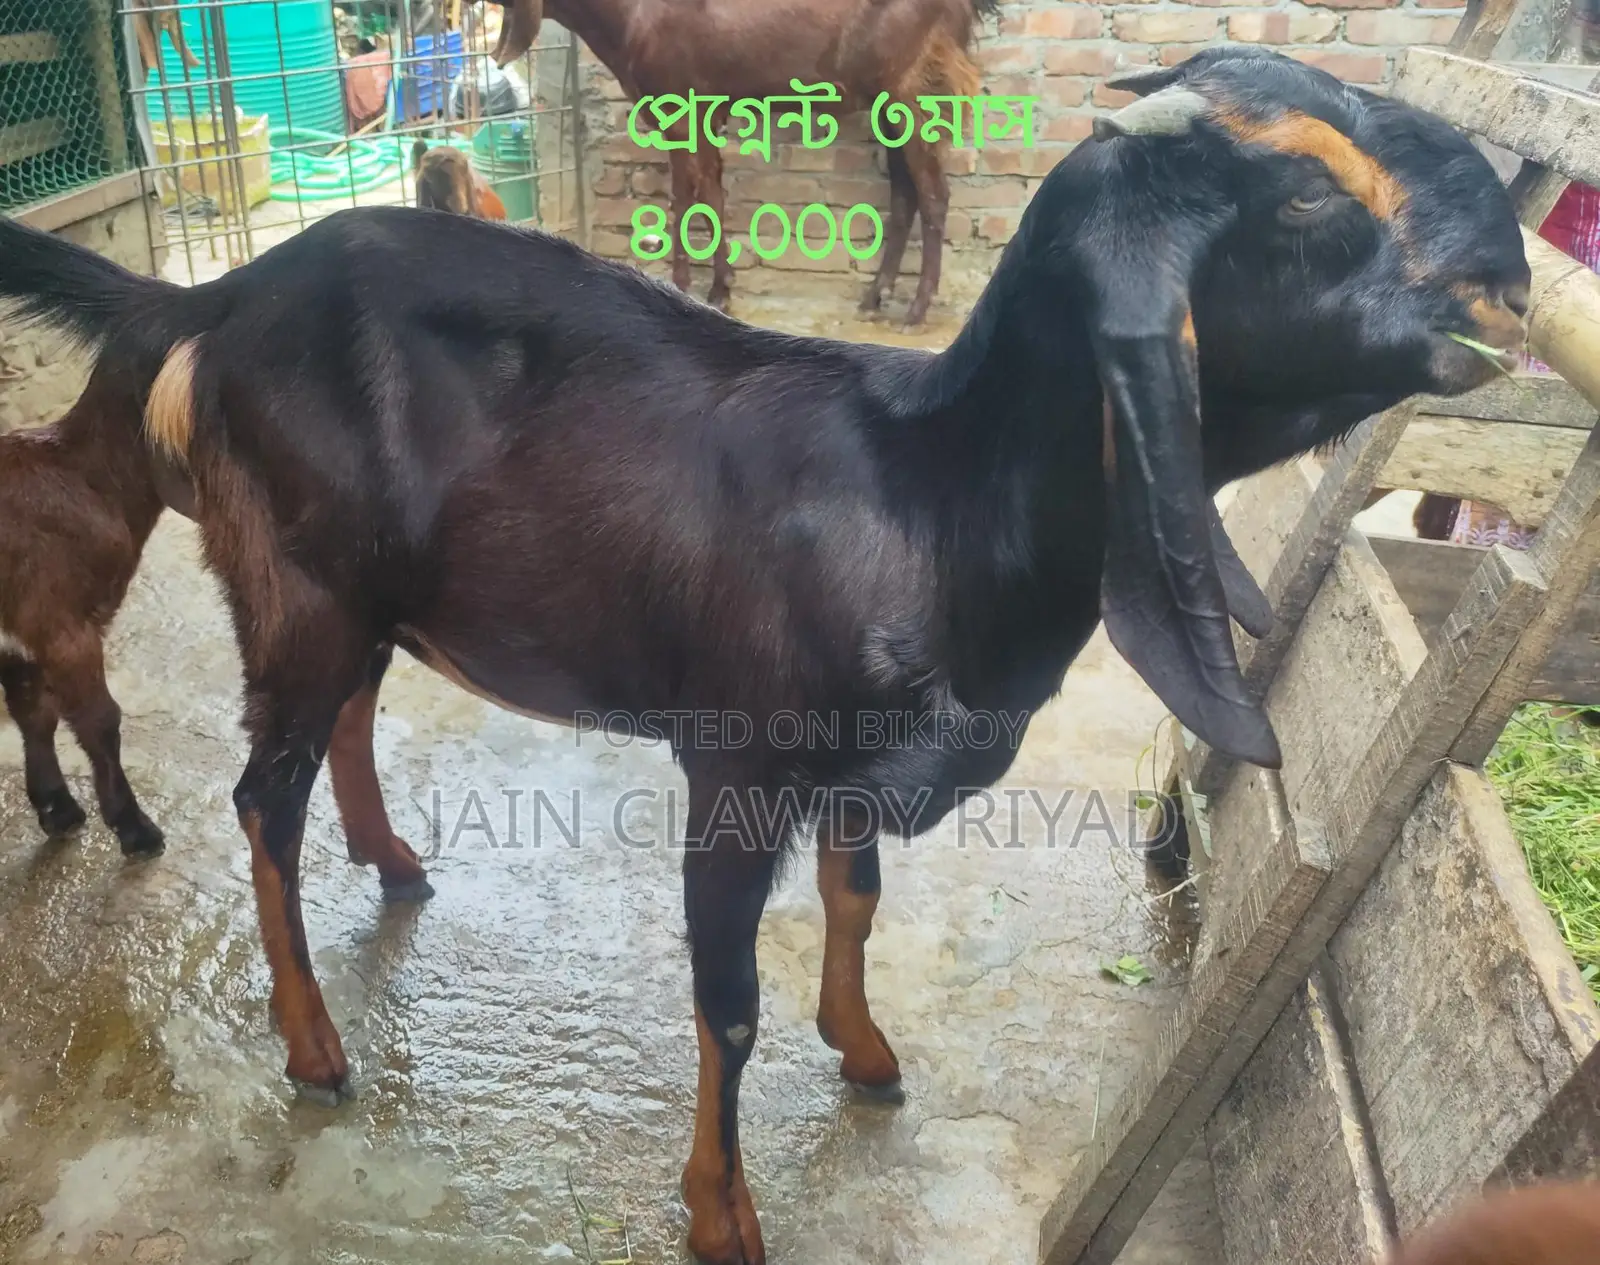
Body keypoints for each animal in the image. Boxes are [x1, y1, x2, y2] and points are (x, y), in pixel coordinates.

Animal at [0, 49, 1530, 1265]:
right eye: (1309, 195)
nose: (1511, 275)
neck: (928, 492)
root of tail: (215, 300)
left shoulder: (850, 775)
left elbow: (856, 899)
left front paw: (862, 1048)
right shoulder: (733, 770)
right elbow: (725, 1005)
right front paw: (721, 1211)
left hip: (359, 592)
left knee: (349, 726)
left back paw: (394, 862)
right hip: (302, 584)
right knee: (262, 797)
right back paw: (314, 1049)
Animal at [477, 0, 998, 327]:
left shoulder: (679, 105)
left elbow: (684, 197)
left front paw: (684, 285)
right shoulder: (707, 109)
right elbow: (711, 191)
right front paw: (720, 289)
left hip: (911, 88)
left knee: (933, 193)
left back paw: (916, 310)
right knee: (905, 192)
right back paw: (875, 297)